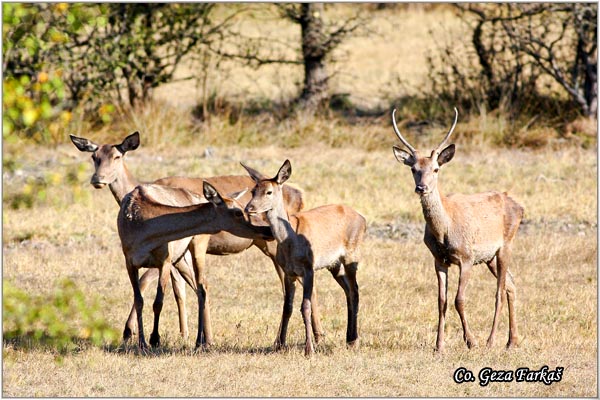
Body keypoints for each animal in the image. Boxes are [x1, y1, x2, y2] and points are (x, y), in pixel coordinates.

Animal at [117, 180, 272, 348]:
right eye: (238, 212)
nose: (267, 230)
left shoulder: (165, 260)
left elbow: (158, 302)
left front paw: (155, 339)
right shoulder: (129, 261)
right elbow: (139, 300)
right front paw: (142, 342)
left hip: (198, 245)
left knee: (202, 287)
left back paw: (203, 341)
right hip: (180, 259)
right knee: (198, 288)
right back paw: (203, 339)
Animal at [240, 159, 366, 356]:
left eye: (269, 192)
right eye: (253, 190)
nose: (249, 208)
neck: (291, 241)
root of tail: (363, 219)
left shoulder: (309, 269)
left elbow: (305, 306)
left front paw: (309, 349)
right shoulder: (288, 272)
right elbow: (287, 307)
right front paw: (280, 345)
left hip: (352, 253)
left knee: (355, 290)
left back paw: (354, 340)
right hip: (334, 264)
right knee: (348, 290)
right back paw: (348, 338)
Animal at [392, 108, 524, 352]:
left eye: (436, 169)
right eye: (414, 169)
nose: (421, 187)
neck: (444, 232)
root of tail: (520, 207)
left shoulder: (466, 257)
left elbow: (458, 299)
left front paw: (470, 341)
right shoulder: (439, 260)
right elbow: (441, 301)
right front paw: (439, 346)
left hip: (506, 245)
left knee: (500, 291)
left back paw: (491, 341)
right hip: (490, 257)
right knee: (511, 284)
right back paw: (512, 341)